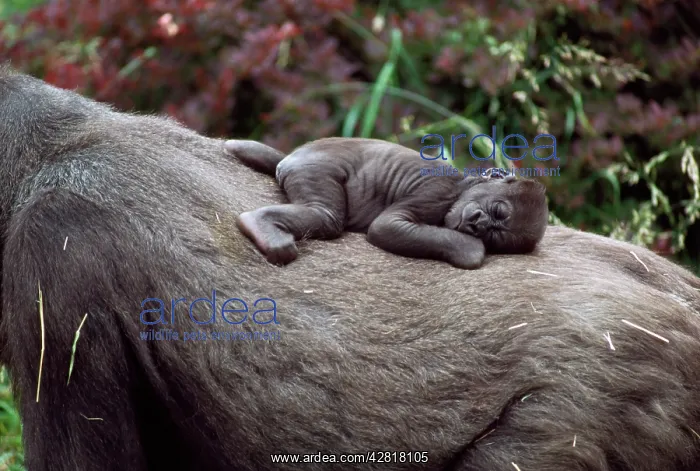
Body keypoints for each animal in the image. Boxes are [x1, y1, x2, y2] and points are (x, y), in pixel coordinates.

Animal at [224, 138, 548, 269]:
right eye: (496, 211)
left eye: (495, 235)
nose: (478, 224)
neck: (463, 185)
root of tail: (290, 159)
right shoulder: (437, 192)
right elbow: (386, 227)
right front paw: (469, 248)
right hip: (312, 169)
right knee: (325, 215)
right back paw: (260, 224)